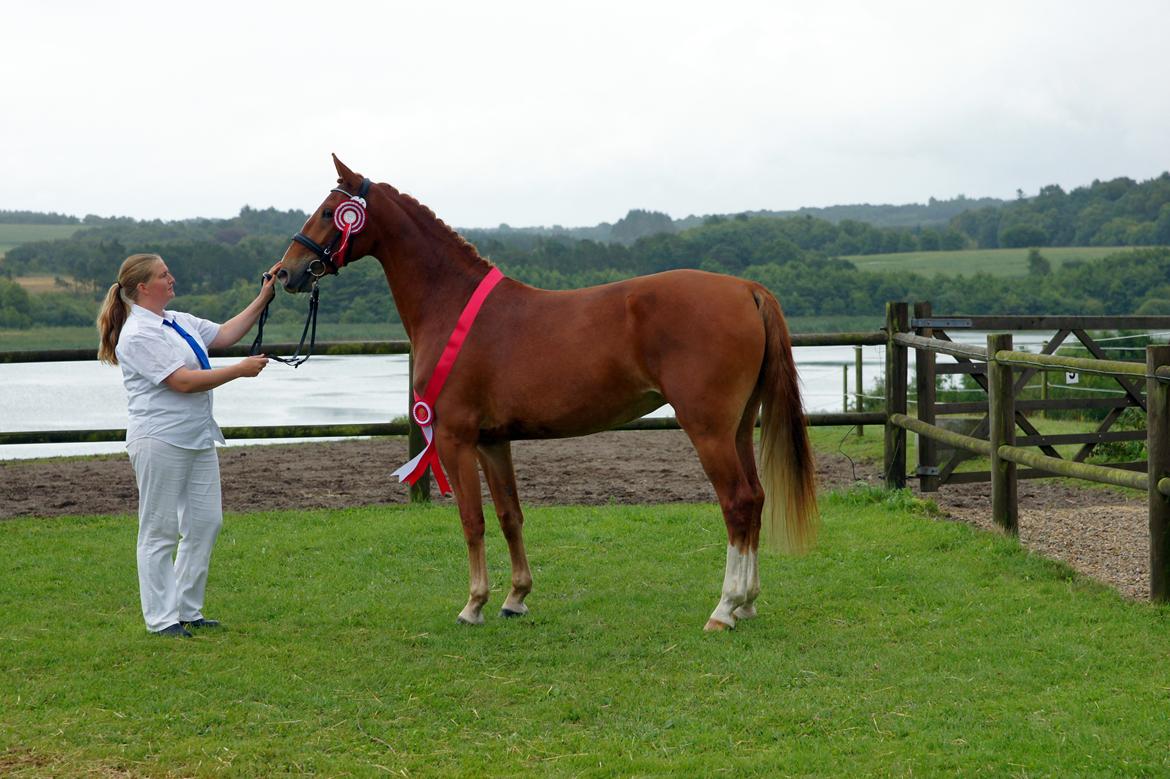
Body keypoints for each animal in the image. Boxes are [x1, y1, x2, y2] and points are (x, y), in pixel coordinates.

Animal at [277, 154, 819, 626]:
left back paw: (725, 608)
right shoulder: (493, 441)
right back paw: (747, 604)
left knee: (737, 502)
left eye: (328, 212)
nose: (285, 272)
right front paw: (515, 598)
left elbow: (472, 520)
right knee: (756, 498)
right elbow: (509, 515)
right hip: (739, 427)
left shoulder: (455, 438)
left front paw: (473, 604)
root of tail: (746, 288)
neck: (451, 304)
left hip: (707, 429)